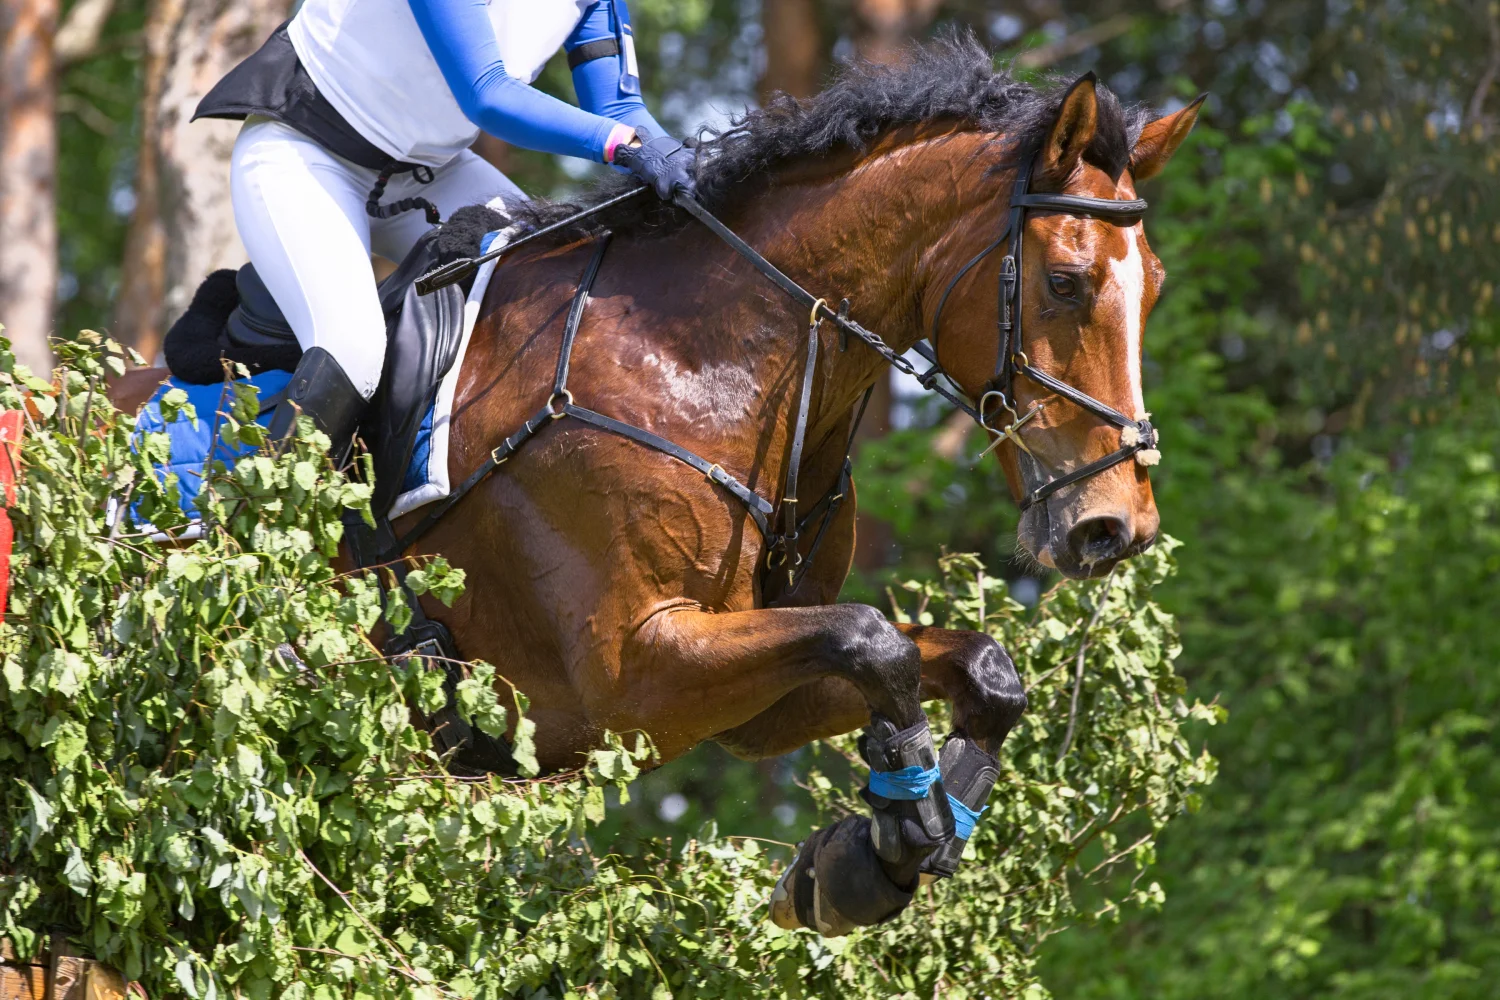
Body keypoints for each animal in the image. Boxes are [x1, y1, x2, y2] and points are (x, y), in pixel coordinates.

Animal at [114, 43, 1206, 941]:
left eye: (1151, 286)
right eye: (1065, 283)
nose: (1116, 525)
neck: (711, 360)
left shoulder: (751, 701)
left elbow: (979, 669)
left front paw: (883, 851)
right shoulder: (634, 676)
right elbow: (875, 640)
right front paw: (886, 844)